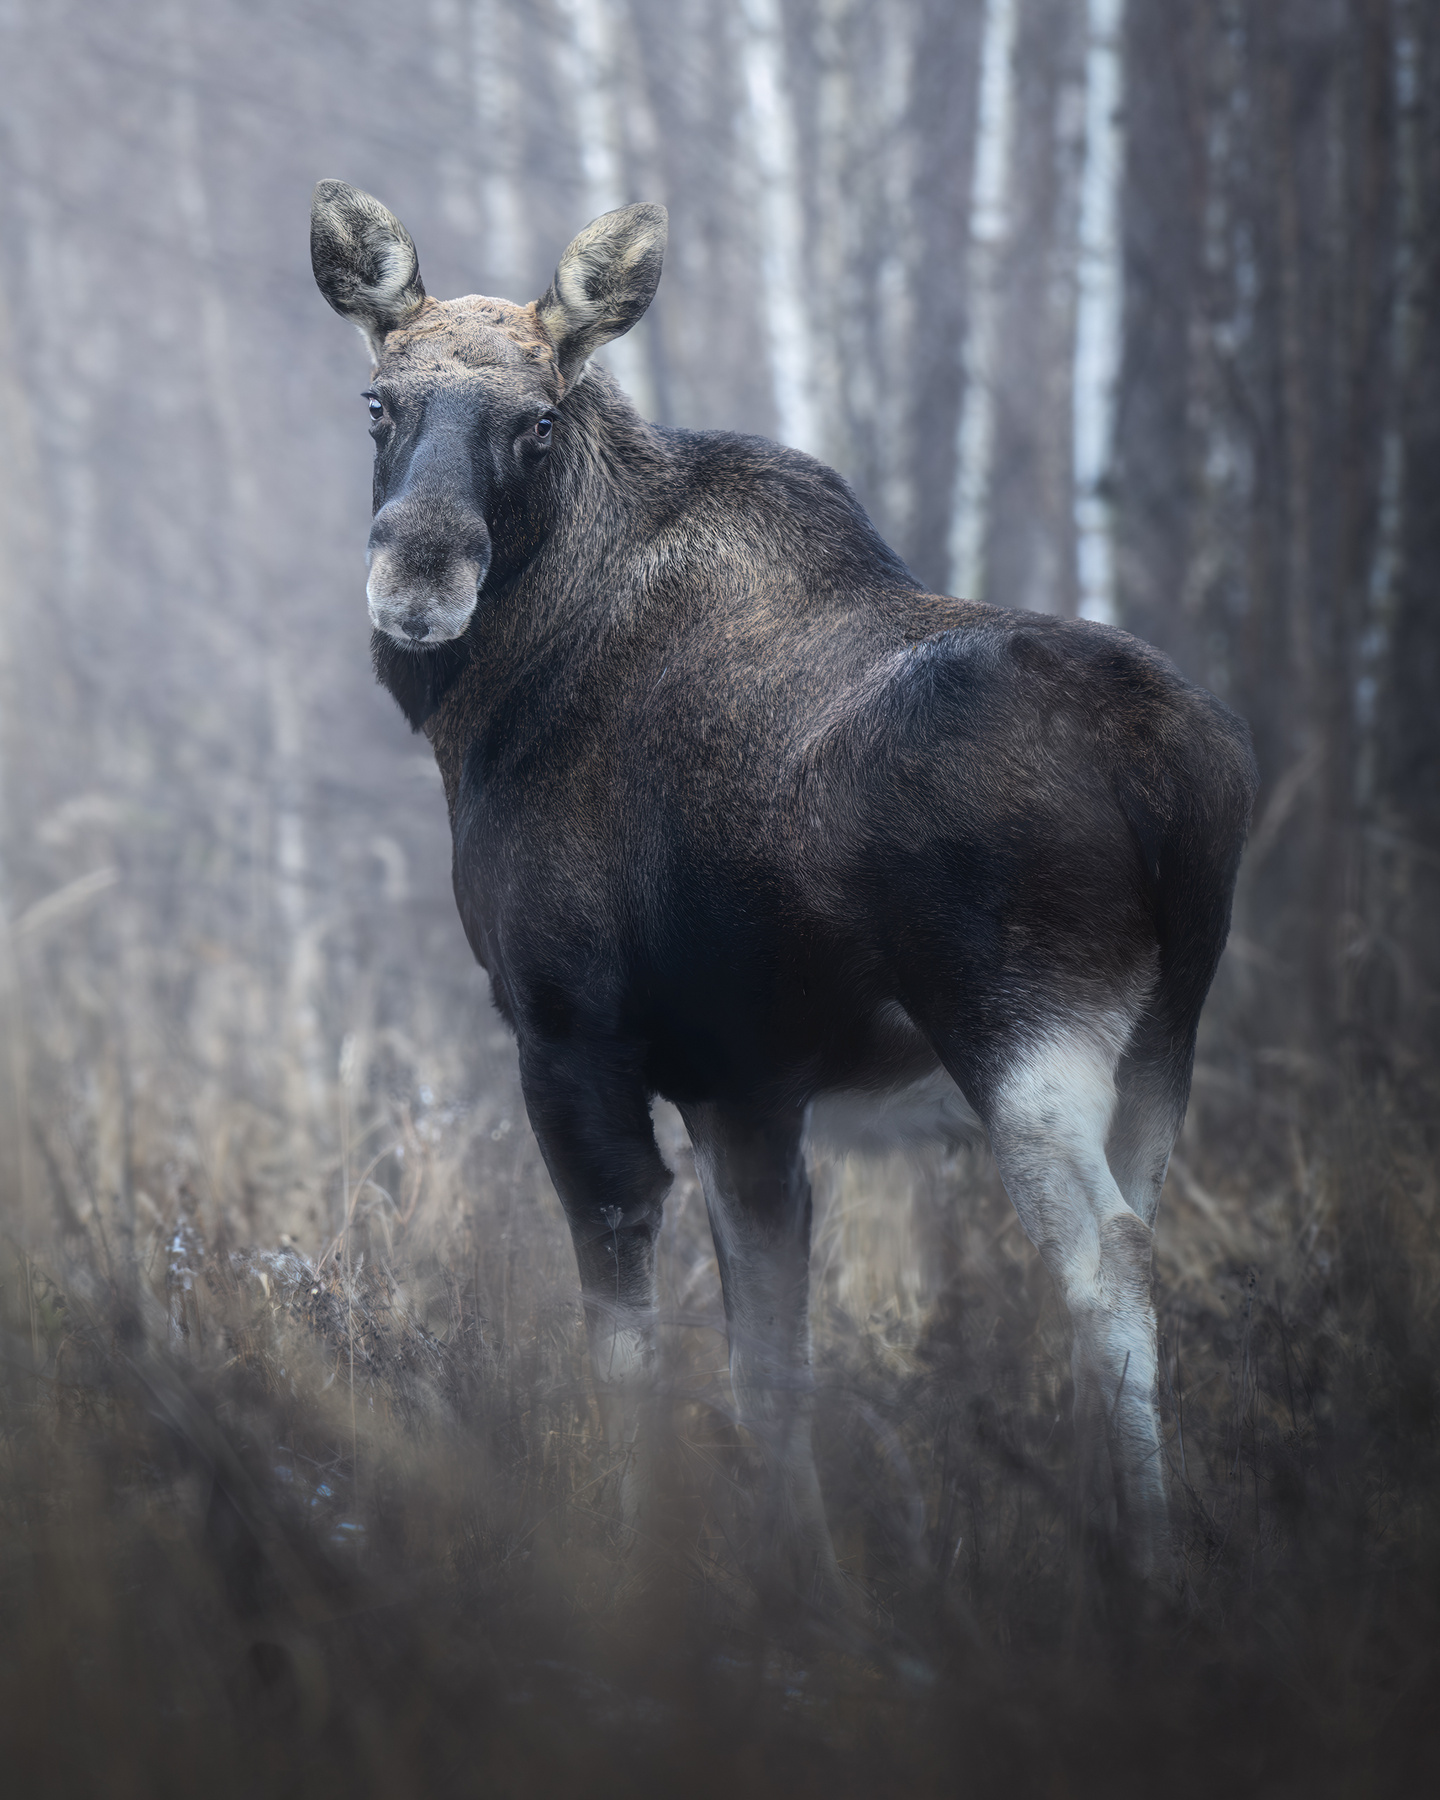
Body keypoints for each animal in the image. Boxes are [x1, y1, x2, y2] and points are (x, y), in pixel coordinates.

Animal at [310, 180, 1257, 1598]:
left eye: (538, 421)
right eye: (380, 403)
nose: (421, 577)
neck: (487, 704)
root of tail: (1181, 778)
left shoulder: (568, 1035)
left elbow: (630, 1341)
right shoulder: (744, 1085)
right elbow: (773, 1360)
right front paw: (797, 1581)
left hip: (1020, 1030)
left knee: (1108, 1261)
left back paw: (1146, 1564)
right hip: (1161, 1042)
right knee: (1142, 1227)